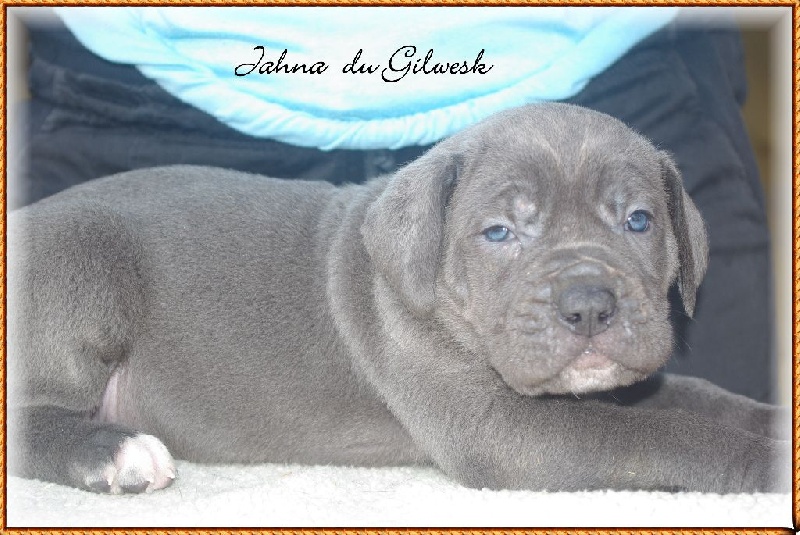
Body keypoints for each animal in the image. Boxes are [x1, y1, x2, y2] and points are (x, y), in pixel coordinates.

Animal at [7, 103, 789, 494]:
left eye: (639, 221)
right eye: (499, 232)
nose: (591, 306)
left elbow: (700, 401)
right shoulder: (503, 432)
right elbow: (666, 436)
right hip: (85, 263)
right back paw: (112, 451)